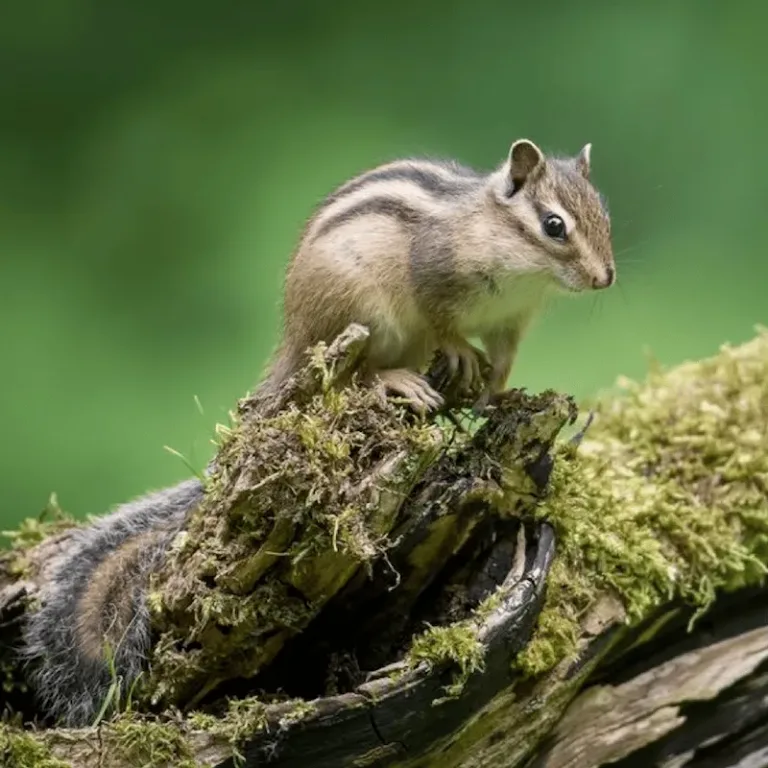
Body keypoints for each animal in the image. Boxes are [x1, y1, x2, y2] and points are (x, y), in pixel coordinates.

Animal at [21, 139, 615, 726]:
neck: (514, 260)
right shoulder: (435, 275)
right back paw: (399, 380)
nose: (604, 278)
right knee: (356, 375)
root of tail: (295, 335)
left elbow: (504, 362)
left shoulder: (512, 321)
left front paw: (497, 394)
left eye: (603, 213)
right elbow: (444, 322)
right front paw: (463, 354)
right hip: (356, 311)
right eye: (554, 225)